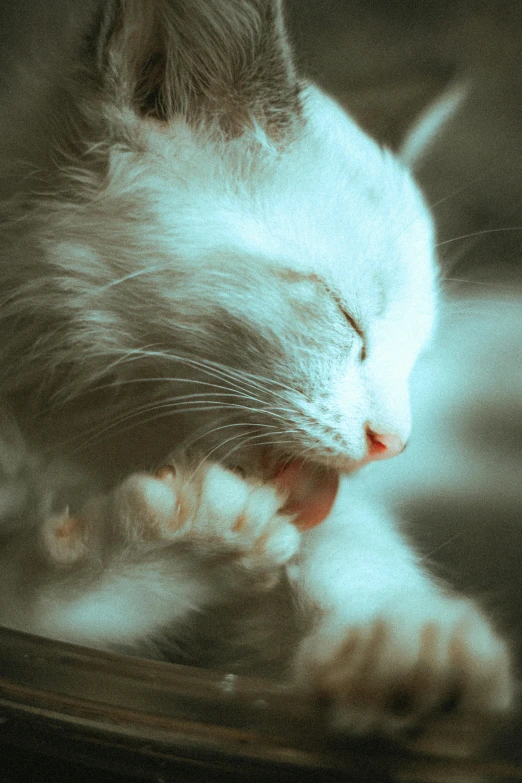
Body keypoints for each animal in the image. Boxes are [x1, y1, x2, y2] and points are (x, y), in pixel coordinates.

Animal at [0, 0, 512, 760]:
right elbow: (43, 612)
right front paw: (190, 544)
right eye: (348, 321)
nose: (392, 443)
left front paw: (408, 644)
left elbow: (352, 541)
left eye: (412, 355)